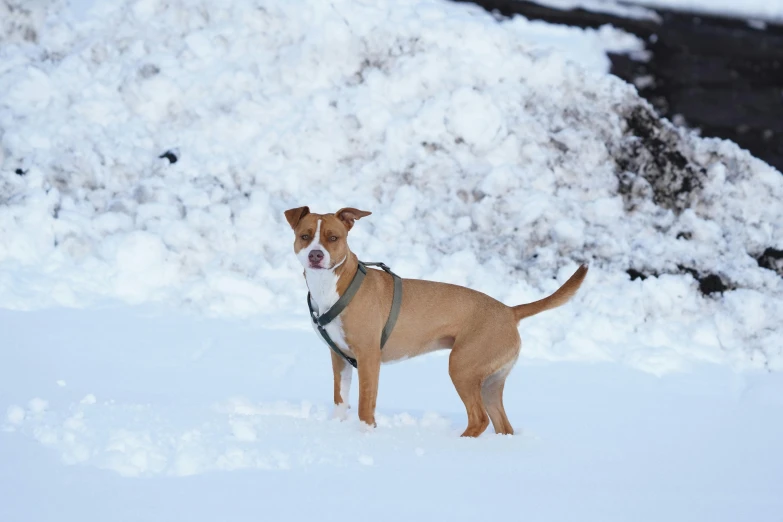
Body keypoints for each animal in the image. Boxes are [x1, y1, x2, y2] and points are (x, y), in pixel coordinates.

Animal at [284, 205, 588, 436]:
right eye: (305, 236)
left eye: (333, 238)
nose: (315, 254)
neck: (331, 287)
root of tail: (510, 311)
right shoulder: (339, 358)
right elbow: (340, 398)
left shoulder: (368, 357)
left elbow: (364, 405)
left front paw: (365, 435)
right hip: (490, 381)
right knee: (502, 425)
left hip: (462, 367)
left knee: (479, 419)